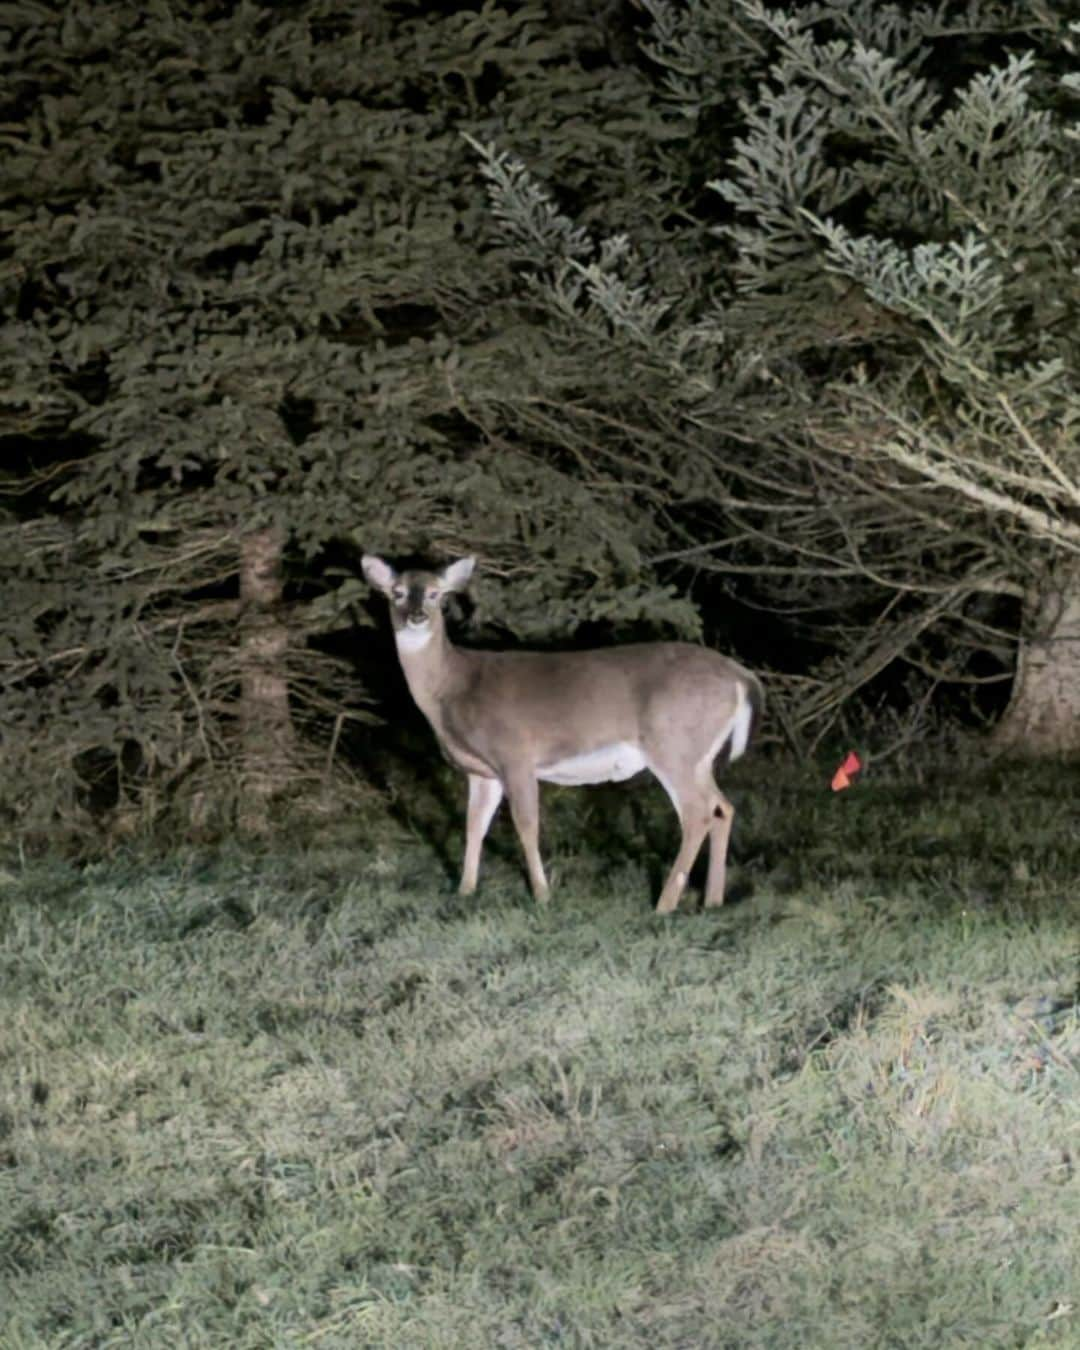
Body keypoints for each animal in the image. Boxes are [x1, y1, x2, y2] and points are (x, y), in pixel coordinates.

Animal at [361, 553, 761, 912]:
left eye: (436, 594)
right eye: (397, 592)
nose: (416, 617)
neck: (453, 688)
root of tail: (741, 677)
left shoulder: (515, 754)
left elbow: (526, 825)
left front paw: (541, 894)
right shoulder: (481, 772)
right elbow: (474, 826)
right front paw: (465, 890)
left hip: (672, 743)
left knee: (698, 813)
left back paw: (665, 904)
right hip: (698, 754)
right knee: (723, 807)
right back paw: (712, 900)